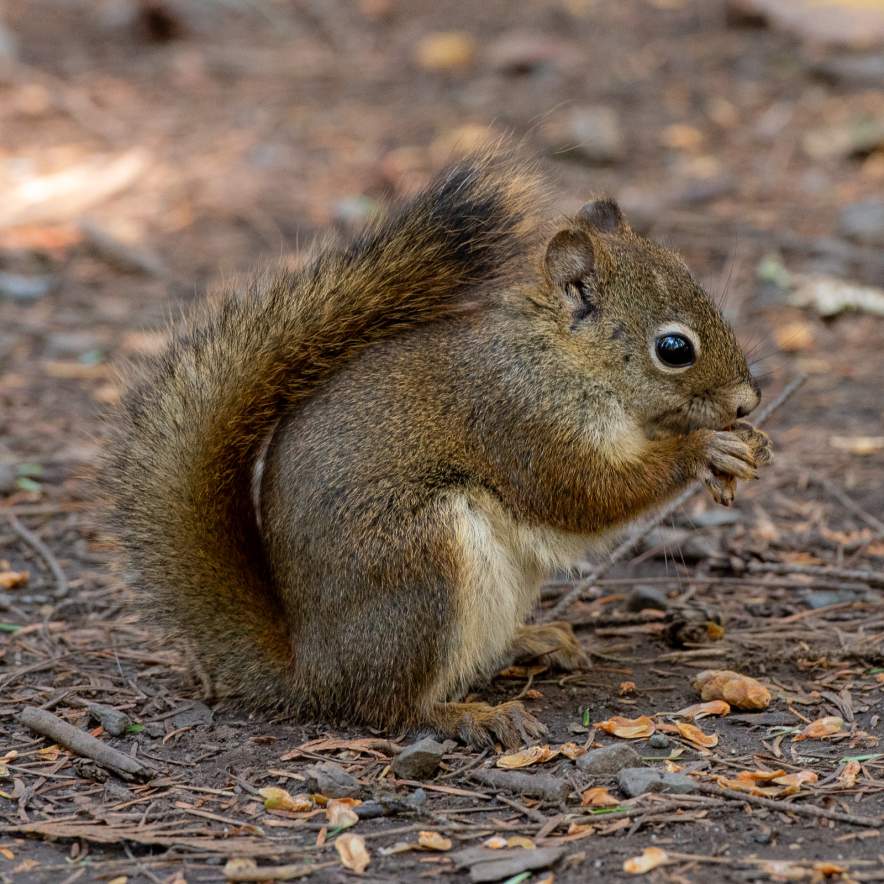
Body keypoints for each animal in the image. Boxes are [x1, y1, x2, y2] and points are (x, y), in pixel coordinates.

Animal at [104, 148, 772, 747]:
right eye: (674, 348)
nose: (747, 402)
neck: (565, 356)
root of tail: (311, 670)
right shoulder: (520, 417)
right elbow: (585, 493)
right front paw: (703, 450)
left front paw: (746, 447)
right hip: (422, 565)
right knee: (389, 707)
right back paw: (469, 717)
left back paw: (534, 642)